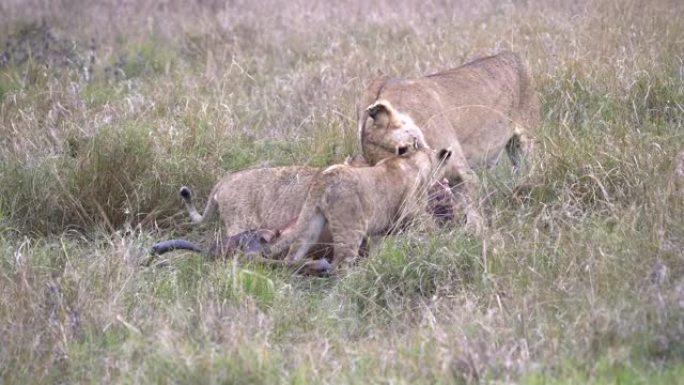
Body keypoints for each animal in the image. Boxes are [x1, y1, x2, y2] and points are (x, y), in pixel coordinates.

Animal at [358, 51, 540, 231]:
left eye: (409, 145)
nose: (432, 156)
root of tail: (514, 55)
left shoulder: (464, 173)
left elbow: (474, 213)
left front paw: (478, 234)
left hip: (526, 141)